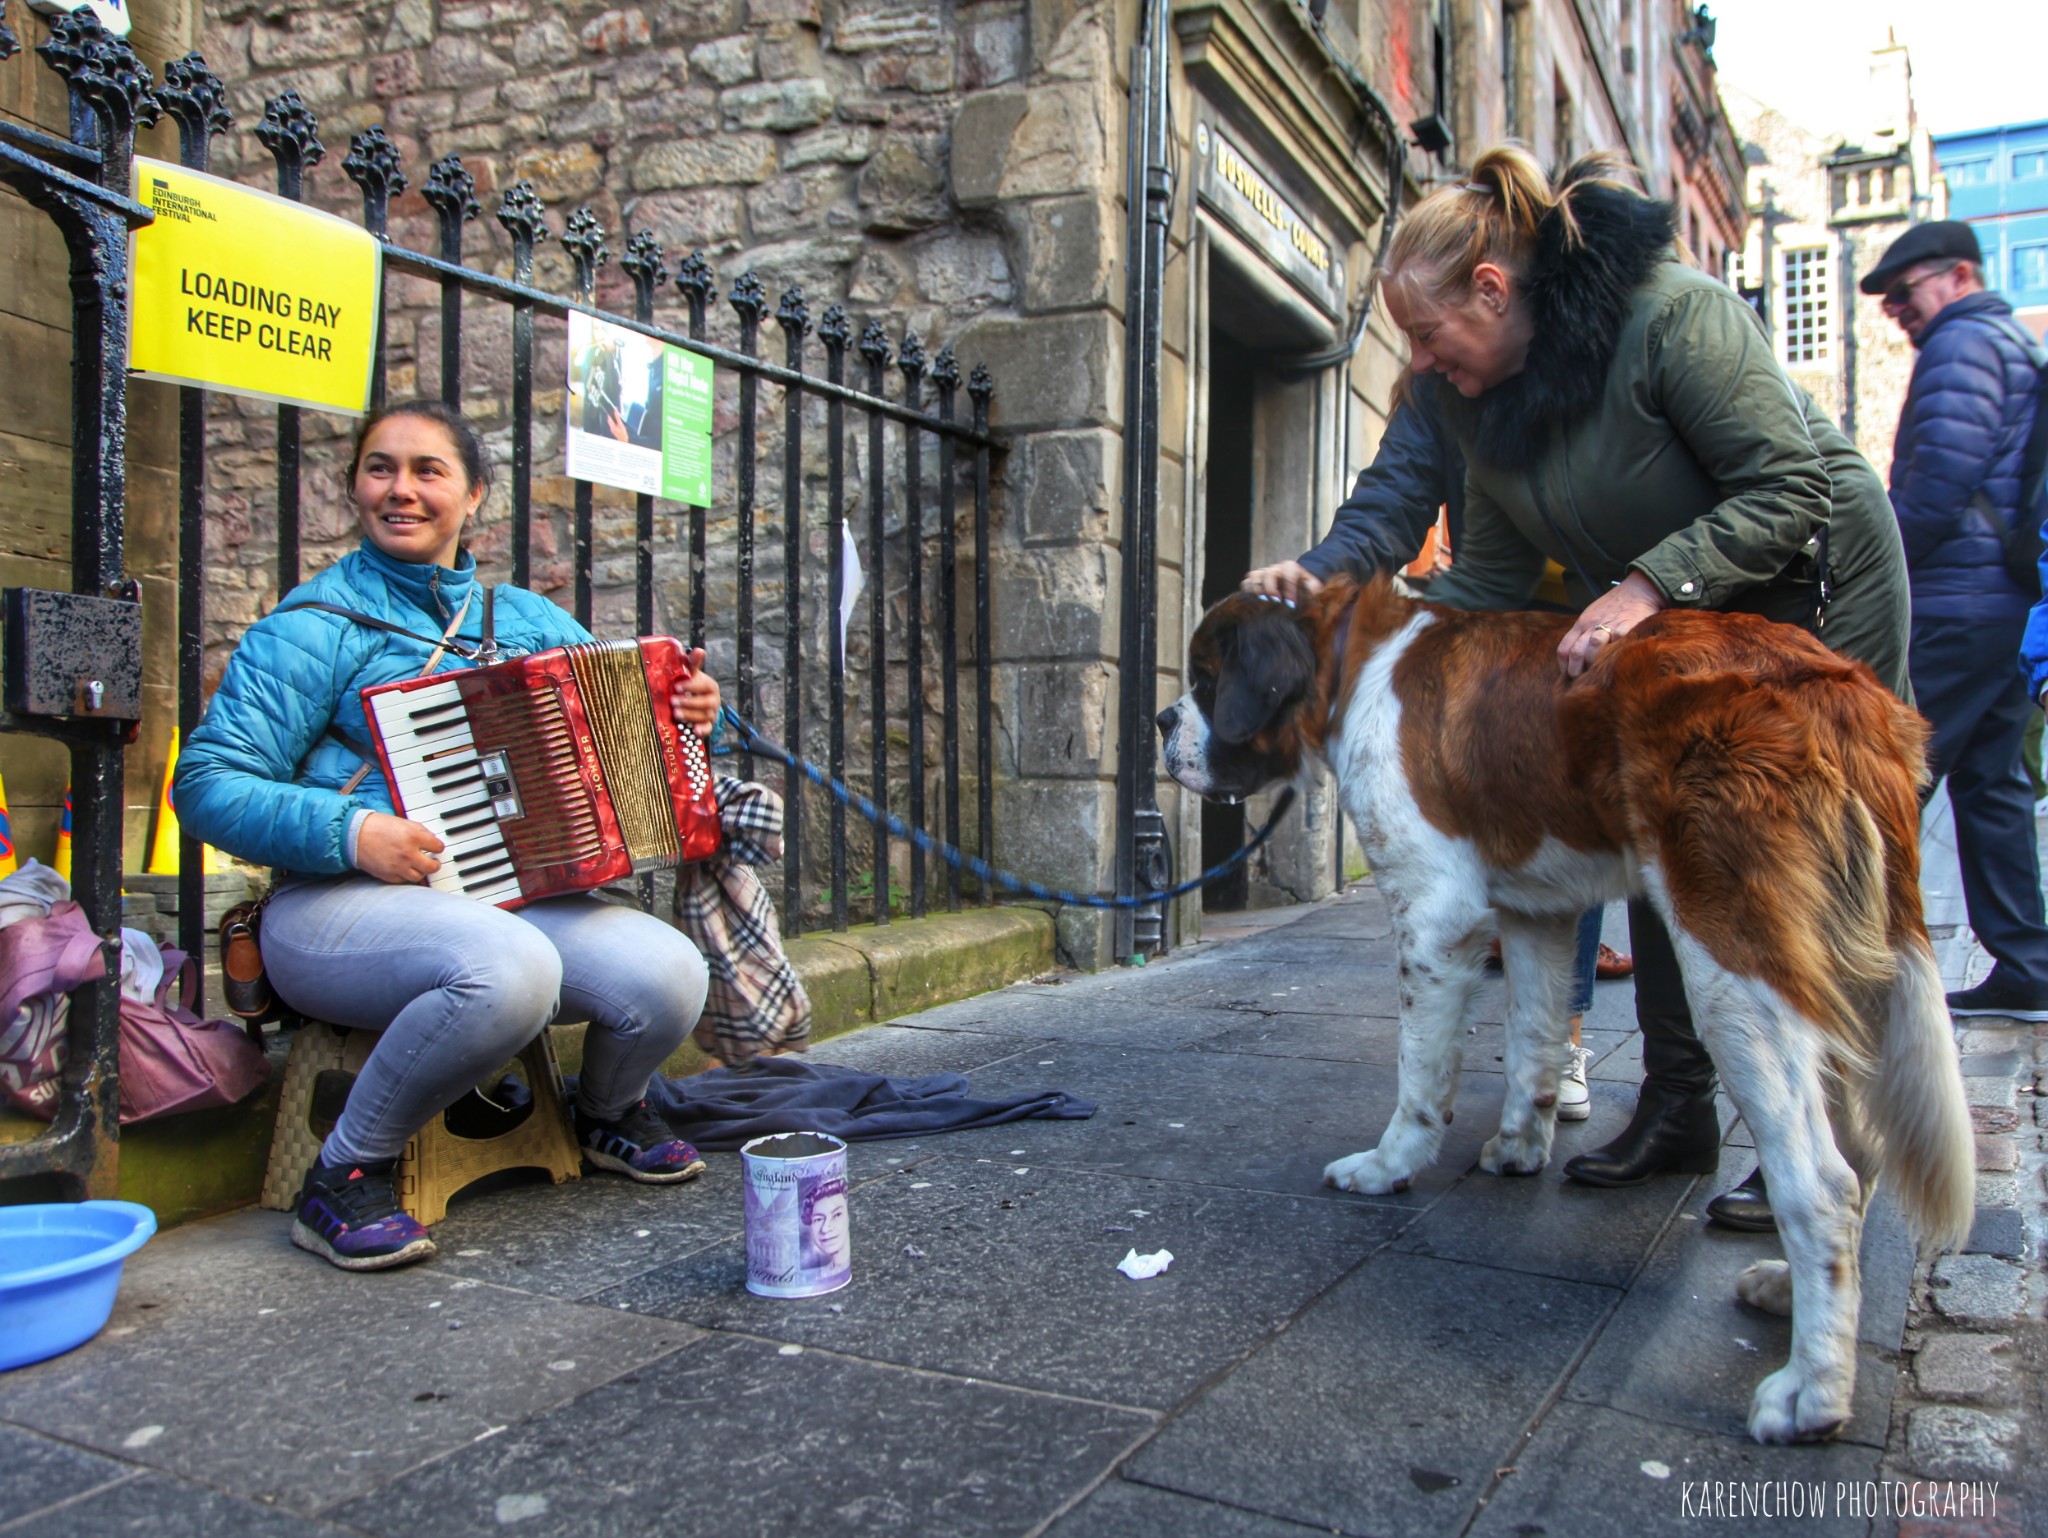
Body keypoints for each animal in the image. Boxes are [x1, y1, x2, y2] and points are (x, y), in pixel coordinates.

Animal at [1163, 573, 1974, 1441]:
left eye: (1206, 678)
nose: (1163, 721)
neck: (1351, 658)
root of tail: (1840, 690)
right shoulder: (1538, 916)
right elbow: (1533, 1038)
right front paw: (1521, 1146)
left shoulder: (1435, 912)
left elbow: (1420, 1073)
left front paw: (1389, 1166)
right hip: (1846, 972)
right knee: (1859, 1154)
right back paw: (1792, 1295)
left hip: (1736, 967)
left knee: (1820, 1184)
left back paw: (1811, 1393)